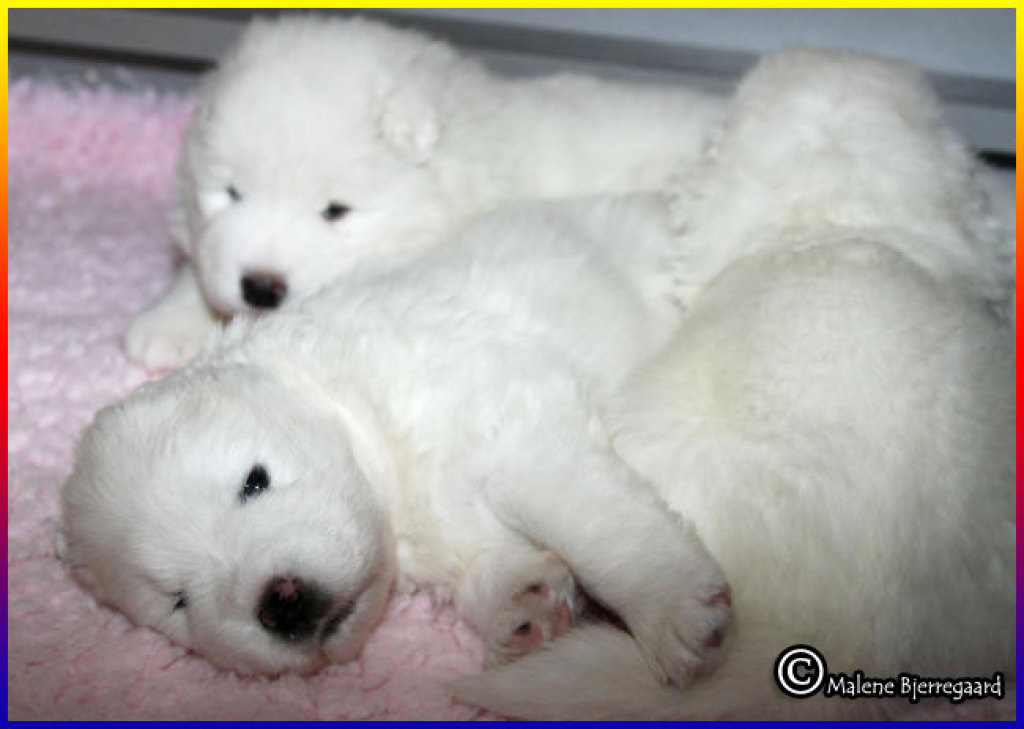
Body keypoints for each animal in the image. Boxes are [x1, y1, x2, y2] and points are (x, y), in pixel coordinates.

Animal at [64, 194, 734, 681]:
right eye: (177, 601)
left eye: (254, 483)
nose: (281, 601)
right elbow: (487, 559)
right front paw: (524, 602)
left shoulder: (517, 429)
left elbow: (597, 525)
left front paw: (673, 609)